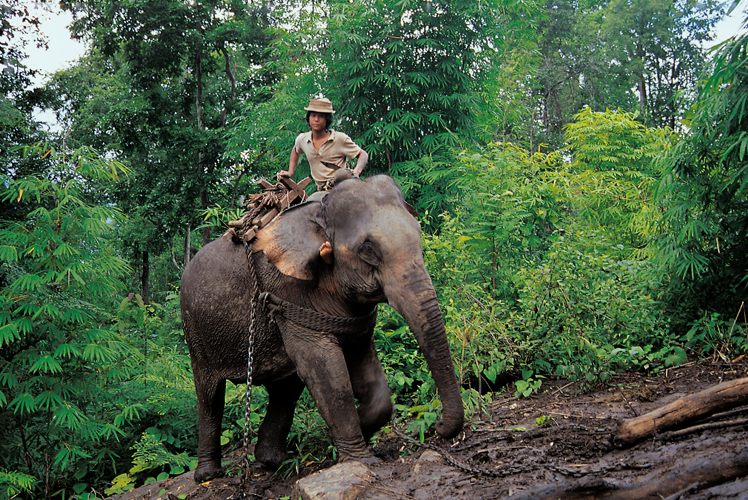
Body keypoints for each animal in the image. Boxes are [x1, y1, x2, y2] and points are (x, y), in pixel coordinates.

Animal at [181, 170, 462, 482]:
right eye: (368, 250)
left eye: (418, 232)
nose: (438, 428)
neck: (318, 213)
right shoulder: (289, 291)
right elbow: (325, 369)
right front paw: (363, 460)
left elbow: (362, 365)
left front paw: (360, 429)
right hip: (195, 330)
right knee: (210, 396)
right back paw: (209, 475)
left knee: (285, 388)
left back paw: (270, 461)